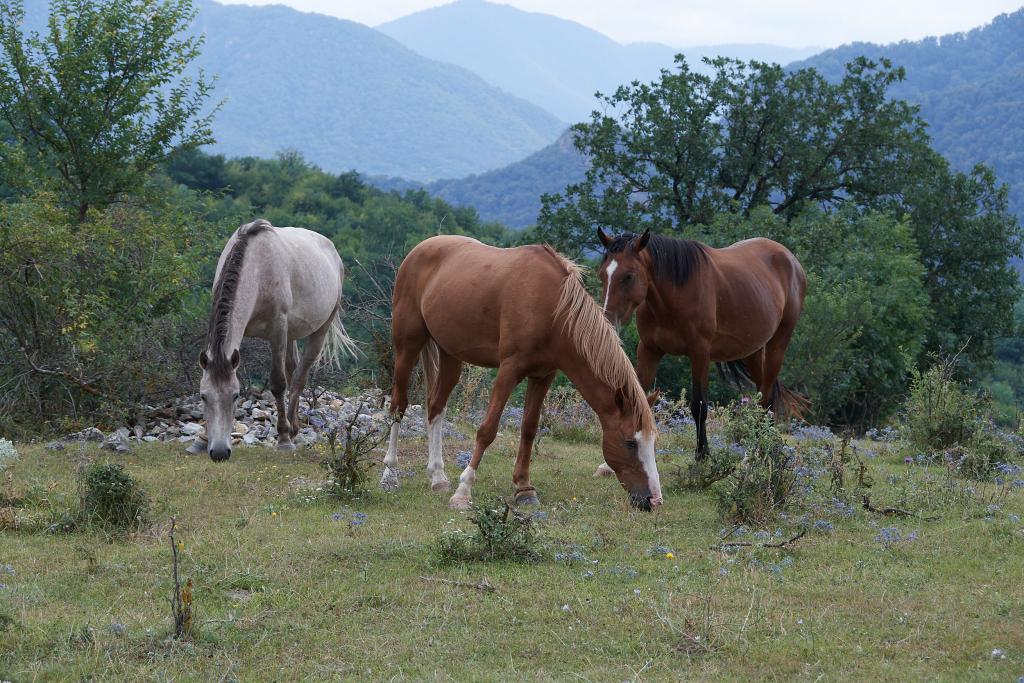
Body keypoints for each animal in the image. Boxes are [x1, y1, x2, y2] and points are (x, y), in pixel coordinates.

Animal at [197, 222, 358, 462]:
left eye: (235, 396)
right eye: (204, 396)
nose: (219, 452)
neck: (257, 268)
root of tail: (333, 252)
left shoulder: (278, 331)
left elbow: (278, 383)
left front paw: (283, 438)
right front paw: (202, 439)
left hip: (319, 330)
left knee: (299, 377)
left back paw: (291, 430)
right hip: (292, 334)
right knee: (293, 370)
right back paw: (295, 426)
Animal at [385, 235, 663, 507]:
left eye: (653, 442)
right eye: (630, 442)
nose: (654, 500)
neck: (552, 308)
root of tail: (420, 249)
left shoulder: (542, 376)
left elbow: (529, 429)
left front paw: (524, 488)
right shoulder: (509, 370)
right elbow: (487, 430)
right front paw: (463, 491)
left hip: (450, 355)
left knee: (435, 407)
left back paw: (438, 478)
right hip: (407, 346)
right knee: (398, 406)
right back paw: (390, 475)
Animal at [598, 228, 802, 458]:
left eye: (628, 276)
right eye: (602, 274)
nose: (608, 321)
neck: (676, 294)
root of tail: (790, 258)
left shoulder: (700, 353)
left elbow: (699, 405)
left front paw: (702, 454)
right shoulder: (649, 350)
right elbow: (638, 398)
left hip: (778, 344)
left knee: (766, 398)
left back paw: (760, 450)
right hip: (753, 351)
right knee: (762, 394)